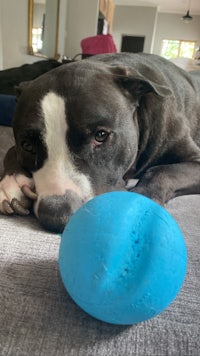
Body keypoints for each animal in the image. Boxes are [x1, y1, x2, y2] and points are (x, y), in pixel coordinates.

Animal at [0, 51, 200, 232]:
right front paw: (12, 181)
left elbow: (162, 171)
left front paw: (139, 203)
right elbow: (10, 150)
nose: (57, 216)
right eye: (27, 146)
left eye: (101, 135)